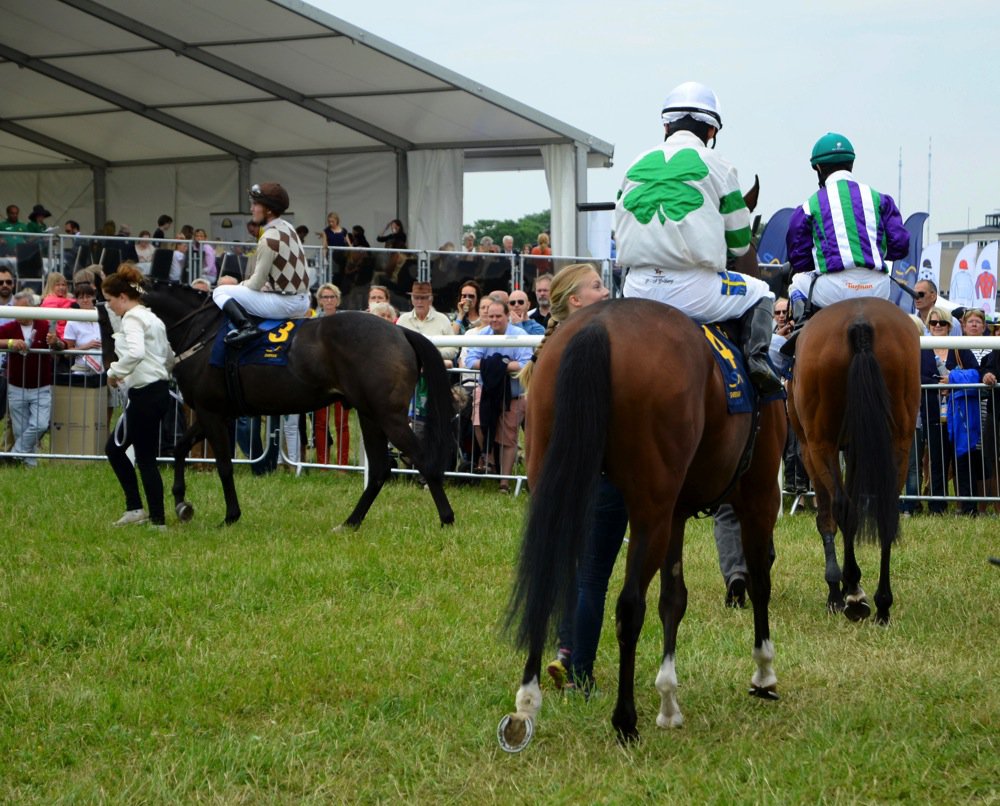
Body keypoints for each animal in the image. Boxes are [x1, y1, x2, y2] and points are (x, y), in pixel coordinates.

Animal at [97, 284, 454, 532]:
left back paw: (447, 519)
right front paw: (182, 501)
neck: (201, 331)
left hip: (387, 415)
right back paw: (350, 522)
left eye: (106, 318)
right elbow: (181, 447)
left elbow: (223, 465)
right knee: (380, 469)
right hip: (369, 414)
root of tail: (399, 330)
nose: (110, 369)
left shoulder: (211, 412)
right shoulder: (213, 411)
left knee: (422, 461)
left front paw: (230, 516)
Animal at [500, 298, 788, 752]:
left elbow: (674, 599)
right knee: (629, 606)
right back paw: (624, 720)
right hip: (651, 510)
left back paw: (527, 704)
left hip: (560, 482)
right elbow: (760, 582)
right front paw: (763, 673)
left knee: (547, 582)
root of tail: (598, 326)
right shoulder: (758, 497)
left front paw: (669, 702)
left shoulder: (676, 512)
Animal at [788, 300, 920, 620]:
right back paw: (883, 604)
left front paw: (839, 590)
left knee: (842, 507)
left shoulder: (809, 447)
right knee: (886, 511)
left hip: (820, 442)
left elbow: (827, 516)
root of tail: (860, 322)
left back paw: (853, 597)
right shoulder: (858, 446)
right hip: (898, 439)